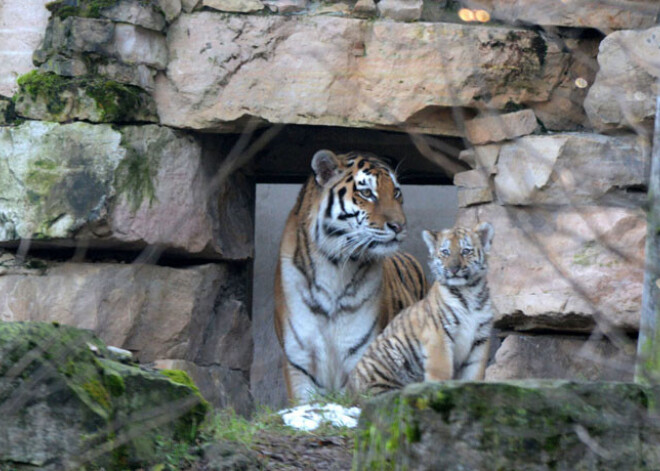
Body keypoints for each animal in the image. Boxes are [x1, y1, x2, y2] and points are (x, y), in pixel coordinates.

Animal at [274, 149, 428, 404]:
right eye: (366, 193)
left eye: (396, 192)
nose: (399, 226)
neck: (334, 268)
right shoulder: (299, 364)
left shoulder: (364, 359)